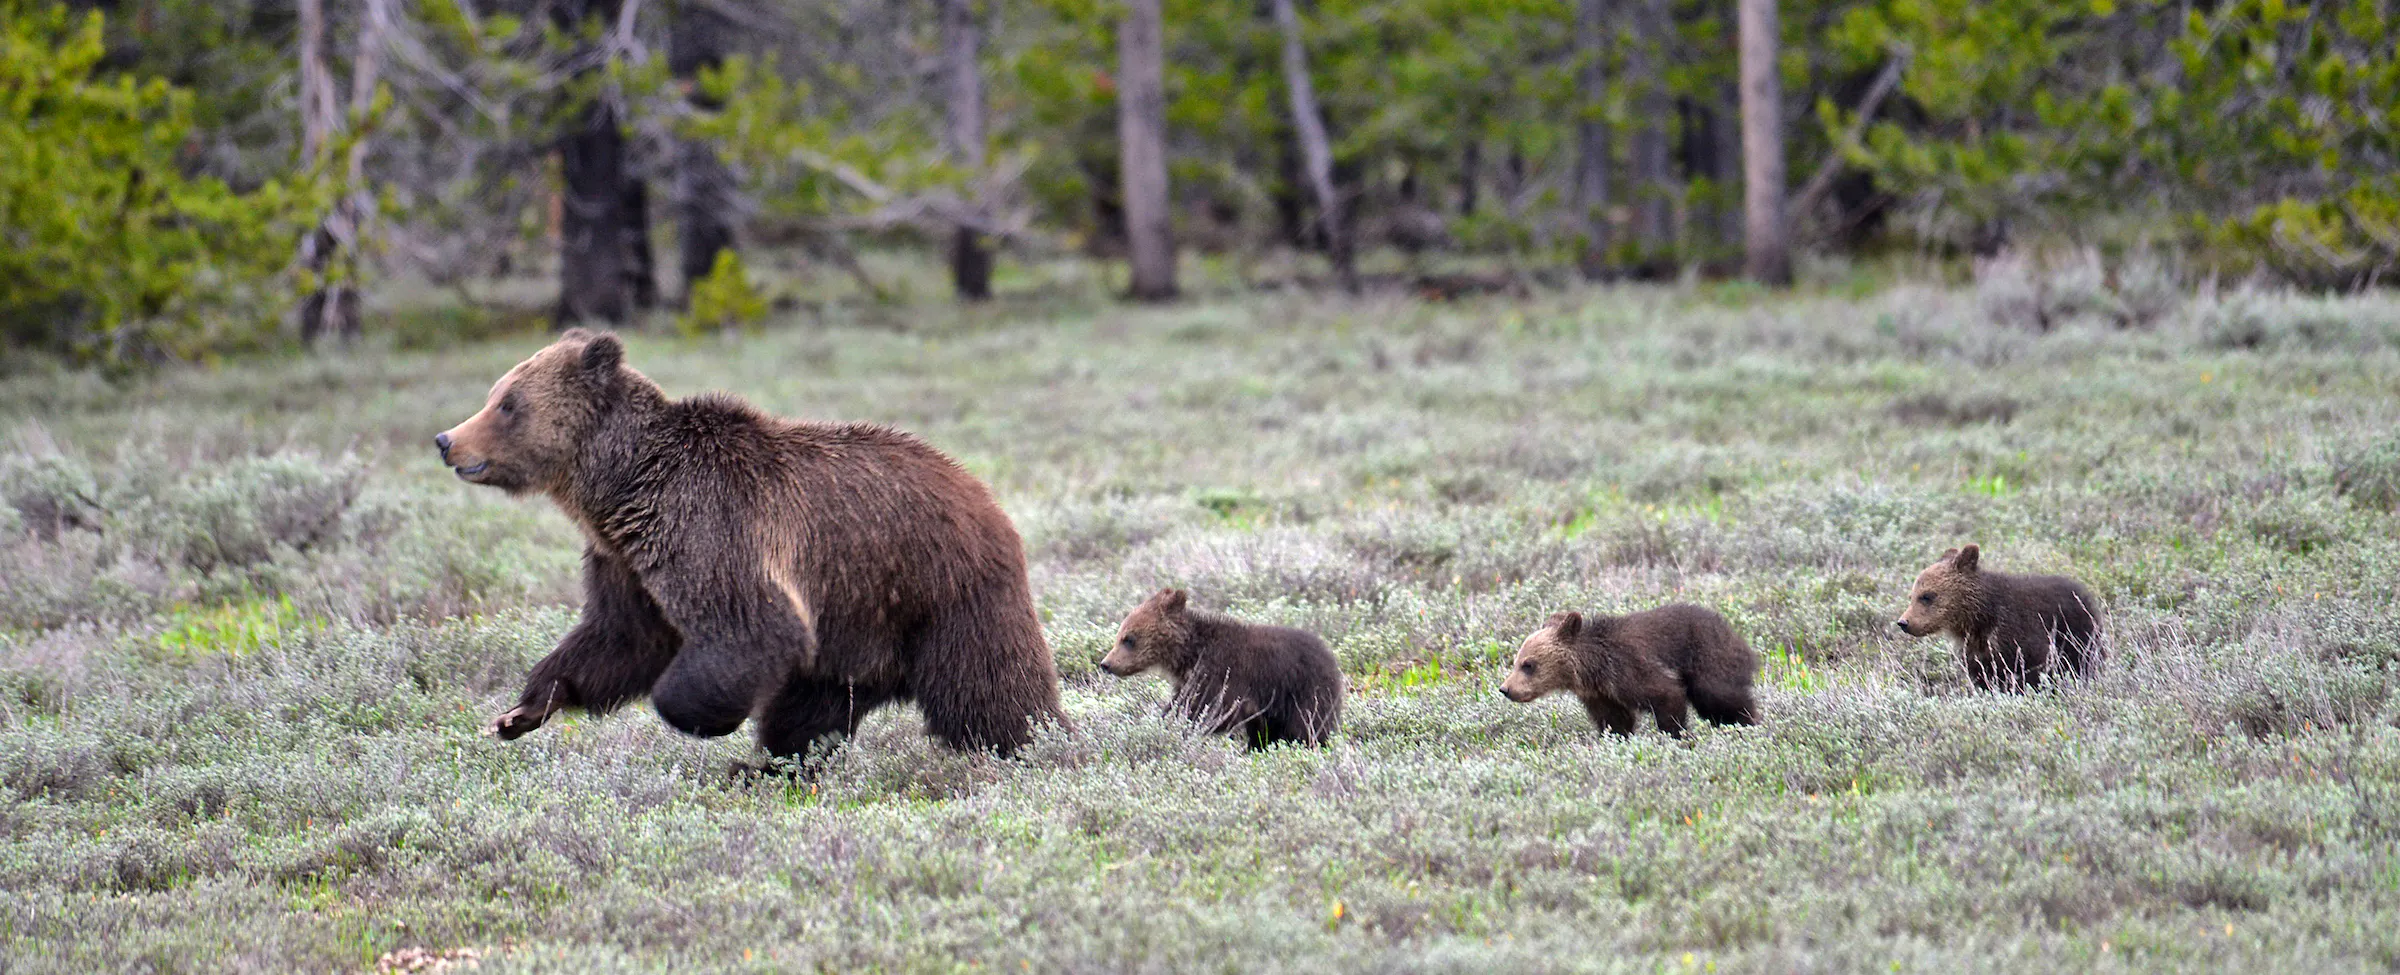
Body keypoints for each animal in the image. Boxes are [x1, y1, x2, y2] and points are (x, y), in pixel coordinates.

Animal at [434, 329, 1065, 759]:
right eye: (496, 392)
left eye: (508, 403)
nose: (446, 439)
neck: (623, 490)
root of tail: (986, 496)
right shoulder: (625, 561)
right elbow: (620, 637)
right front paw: (523, 708)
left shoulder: (712, 527)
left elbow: (752, 625)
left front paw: (692, 712)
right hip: (853, 625)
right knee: (811, 711)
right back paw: (771, 767)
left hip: (938, 589)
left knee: (988, 690)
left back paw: (1036, 745)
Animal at [1099, 588, 1343, 748]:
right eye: (1120, 635)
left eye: (1129, 639)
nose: (1106, 664)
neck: (1189, 654)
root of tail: (1331, 656)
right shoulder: (1190, 680)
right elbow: (1182, 702)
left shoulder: (1221, 675)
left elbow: (1207, 710)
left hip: (1305, 691)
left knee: (1306, 727)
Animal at [1499, 604, 1759, 737]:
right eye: (1516, 661)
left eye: (1528, 664)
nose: (1505, 689)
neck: (1594, 668)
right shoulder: (1601, 694)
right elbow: (1615, 721)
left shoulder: (1630, 668)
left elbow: (1667, 695)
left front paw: (1675, 735)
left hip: (1707, 657)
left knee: (1720, 696)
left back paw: (1747, 724)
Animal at [1894, 544, 2101, 691]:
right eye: (1912, 596)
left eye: (1927, 596)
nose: (1904, 622)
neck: (1981, 619)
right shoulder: (1977, 652)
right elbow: (1983, 677)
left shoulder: (2022, 633)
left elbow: (2035, 669)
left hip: (2077, 633)